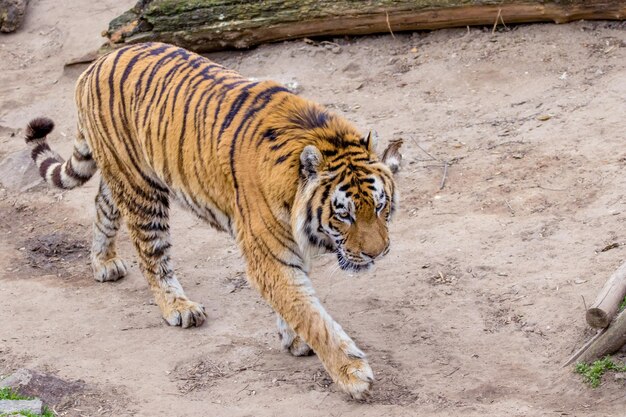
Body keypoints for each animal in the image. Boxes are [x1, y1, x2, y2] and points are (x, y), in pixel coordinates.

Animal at [24, 42, 400, 400]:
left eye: (380, 206)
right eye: (344, 214)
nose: (378, 253)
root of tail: (96, 65)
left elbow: (295, 302)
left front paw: (293, 339)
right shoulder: (268, 255)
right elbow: (309, 313)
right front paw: (352, 375)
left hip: (123, 173)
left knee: (103, 203)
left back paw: (104, 263)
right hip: (142, 190)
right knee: (152, 254)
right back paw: (179, 307)